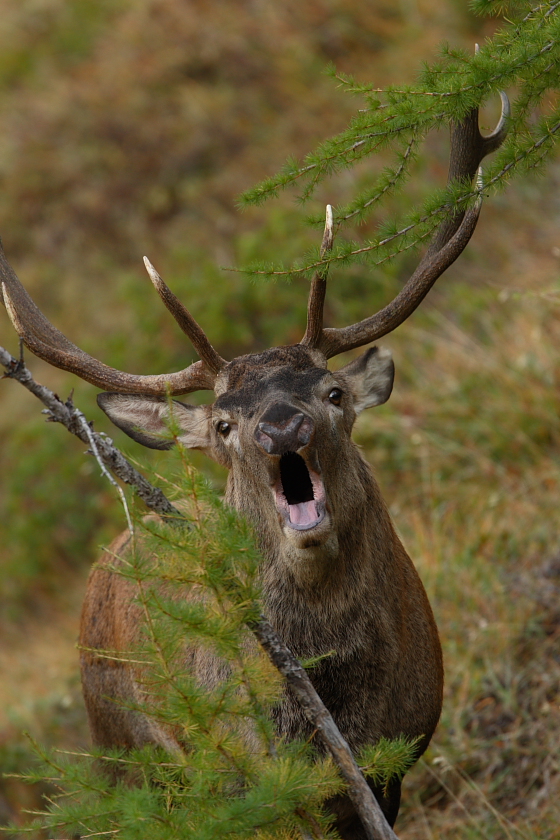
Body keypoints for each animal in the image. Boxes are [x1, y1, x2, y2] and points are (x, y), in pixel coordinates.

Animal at [0, 105, 508, 840]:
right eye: (222, 424)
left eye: (333, 392)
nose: (282, 429)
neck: (338, 709)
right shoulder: (257, 780)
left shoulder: (396, 758)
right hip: (124, 747)